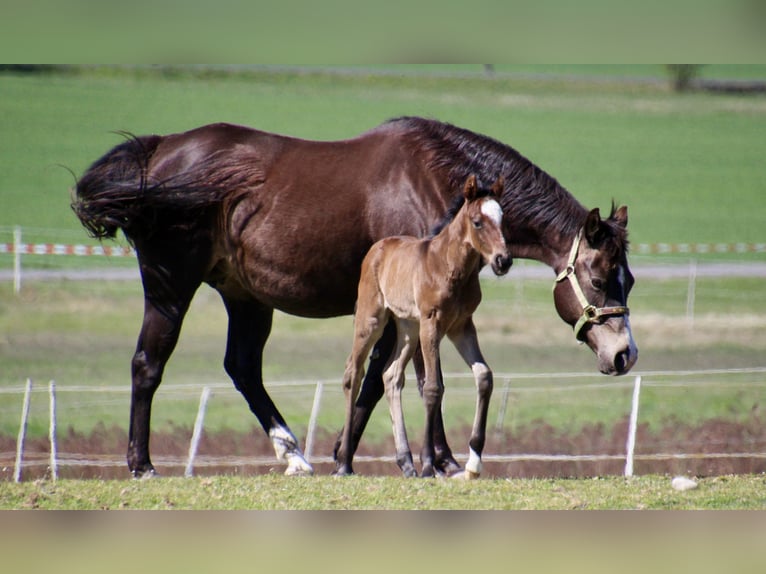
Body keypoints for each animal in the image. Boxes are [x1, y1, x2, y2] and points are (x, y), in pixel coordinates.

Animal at [335, 175, 511, 479]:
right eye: (477, 221)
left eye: (502, 219)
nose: (504, 260)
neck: (450, 267)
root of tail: (377, 248)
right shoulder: (432, 323)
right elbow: (432, 388)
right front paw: (429, 464)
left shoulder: (462, 327)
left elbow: (484, 376)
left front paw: (474, 462)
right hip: (372, 319)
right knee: (353, 374)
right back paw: (345, 462)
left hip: (408, 328)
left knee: (391, 375)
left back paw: (406, 463)